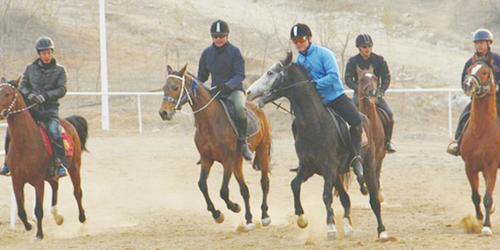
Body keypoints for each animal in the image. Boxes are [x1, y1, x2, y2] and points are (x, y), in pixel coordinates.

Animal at [0, 76, 88, 240]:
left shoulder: (38, 180)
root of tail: (68, 123)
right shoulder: (17, 180)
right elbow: (21, 210)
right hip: (50, 174)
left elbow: (38, 209)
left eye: (7, 94)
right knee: (55, 185)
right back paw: (57, 216)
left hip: (74, 166)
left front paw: (39, 235)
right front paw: (29, 226)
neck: (25, 143)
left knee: (77, 192)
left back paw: (82, 218)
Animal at [158, 64, 272, 230]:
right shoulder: (207, 159)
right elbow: (202, 185)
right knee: (244, 190)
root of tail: (258, 108)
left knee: (264, 183)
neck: (210, 122)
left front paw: (234, 207)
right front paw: (217, 214)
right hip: (238, 162)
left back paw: (264, 216)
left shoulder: (228, 160)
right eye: (164, 87)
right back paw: (249, 220)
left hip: (262, 151)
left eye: (176, 87)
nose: (163, 113)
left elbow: (223, 191)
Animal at [246, 51, 386, 240]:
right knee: (345, 198)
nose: (249, 91)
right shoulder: (309, 168)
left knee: (373, 198)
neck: (314, 124)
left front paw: (331, 228)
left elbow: (326, 196)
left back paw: (382, 231)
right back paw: (348, 227)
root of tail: (365, 119)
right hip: (337, 174)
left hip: (368, 165)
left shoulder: (328, 169)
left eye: (270, 73)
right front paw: (301, 219)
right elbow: (294, 185)